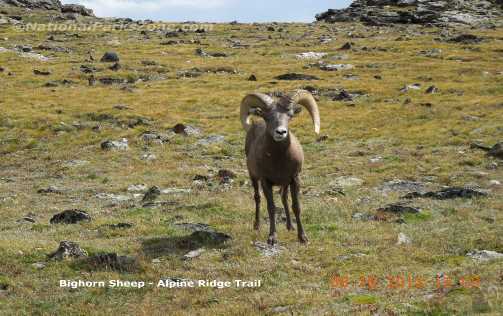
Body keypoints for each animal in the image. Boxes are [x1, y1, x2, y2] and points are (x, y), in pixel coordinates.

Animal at [241, 90, 320, 246]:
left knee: (284, 199)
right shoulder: (266, 182)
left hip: (285, 184)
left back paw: (290, 226)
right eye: (266, 117)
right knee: (257, 198)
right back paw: (256, 225)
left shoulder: (295, 179)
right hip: (254, 177)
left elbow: (296, 207)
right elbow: (271, 208)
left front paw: (302, 237)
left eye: (290, 115)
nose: (280, 132)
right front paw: (272, 237)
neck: (279, 161)